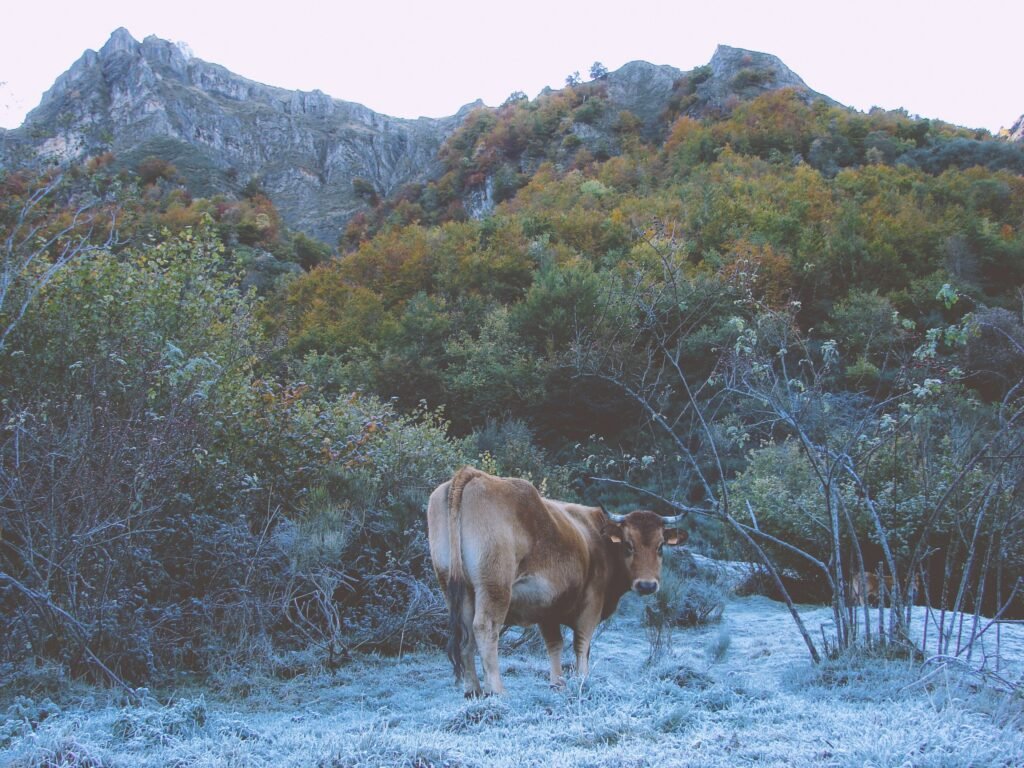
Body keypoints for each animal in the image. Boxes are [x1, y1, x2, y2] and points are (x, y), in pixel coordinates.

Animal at [425, 468, 688, 696]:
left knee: (465, 634)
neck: (597, 537)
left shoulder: (547, 608)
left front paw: (557, 683)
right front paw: (582, 680)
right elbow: (582, 643)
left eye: (660, 546)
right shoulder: (591, 604)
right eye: (628, 545)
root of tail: (474, 474)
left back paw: (473, 690)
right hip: (494, 588)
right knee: (484, 628)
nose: (647, 585)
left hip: (455, 588)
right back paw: (497, 691)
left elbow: (555, 645)